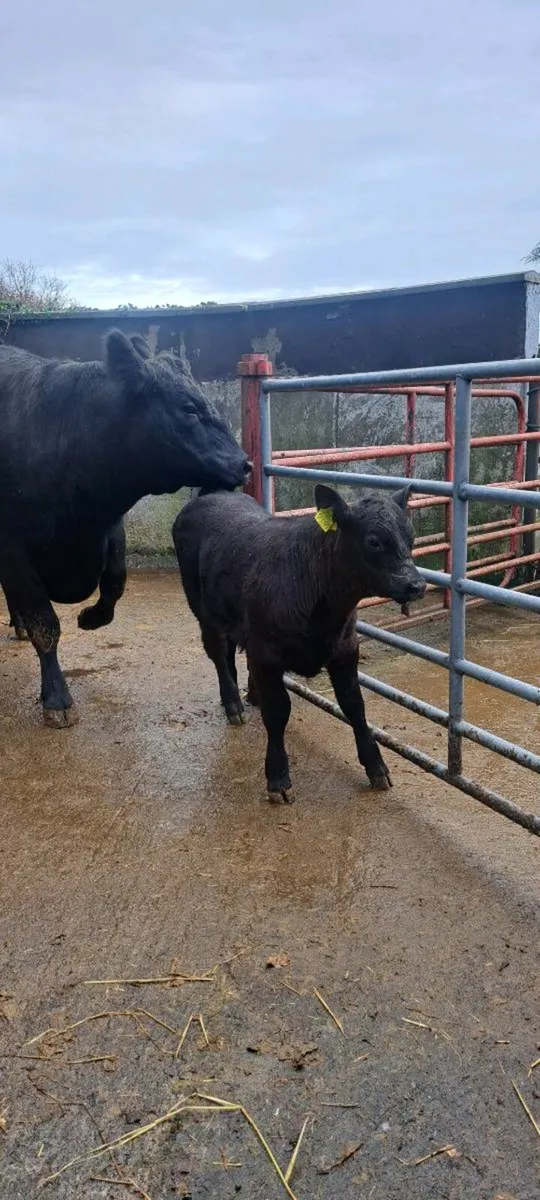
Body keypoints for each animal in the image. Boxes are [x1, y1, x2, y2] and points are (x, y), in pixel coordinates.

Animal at [0, 331, 250, 726]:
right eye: (189, 408)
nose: (244, 464)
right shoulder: (13, 547)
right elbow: (45, 624)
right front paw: (56, 698)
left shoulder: (110, 527)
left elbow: (115, 583)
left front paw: (91, 617)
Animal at [173, 484, 426, 803]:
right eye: (373, 541)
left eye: (411, 536)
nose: (416, 585)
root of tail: (212, 495)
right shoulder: (265, 655)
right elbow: (278, 711)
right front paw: (278, 777)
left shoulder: (346, 649)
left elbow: (354, 705)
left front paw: (376, 766)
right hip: (201, 608)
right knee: (217, 652)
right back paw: (232, 703)